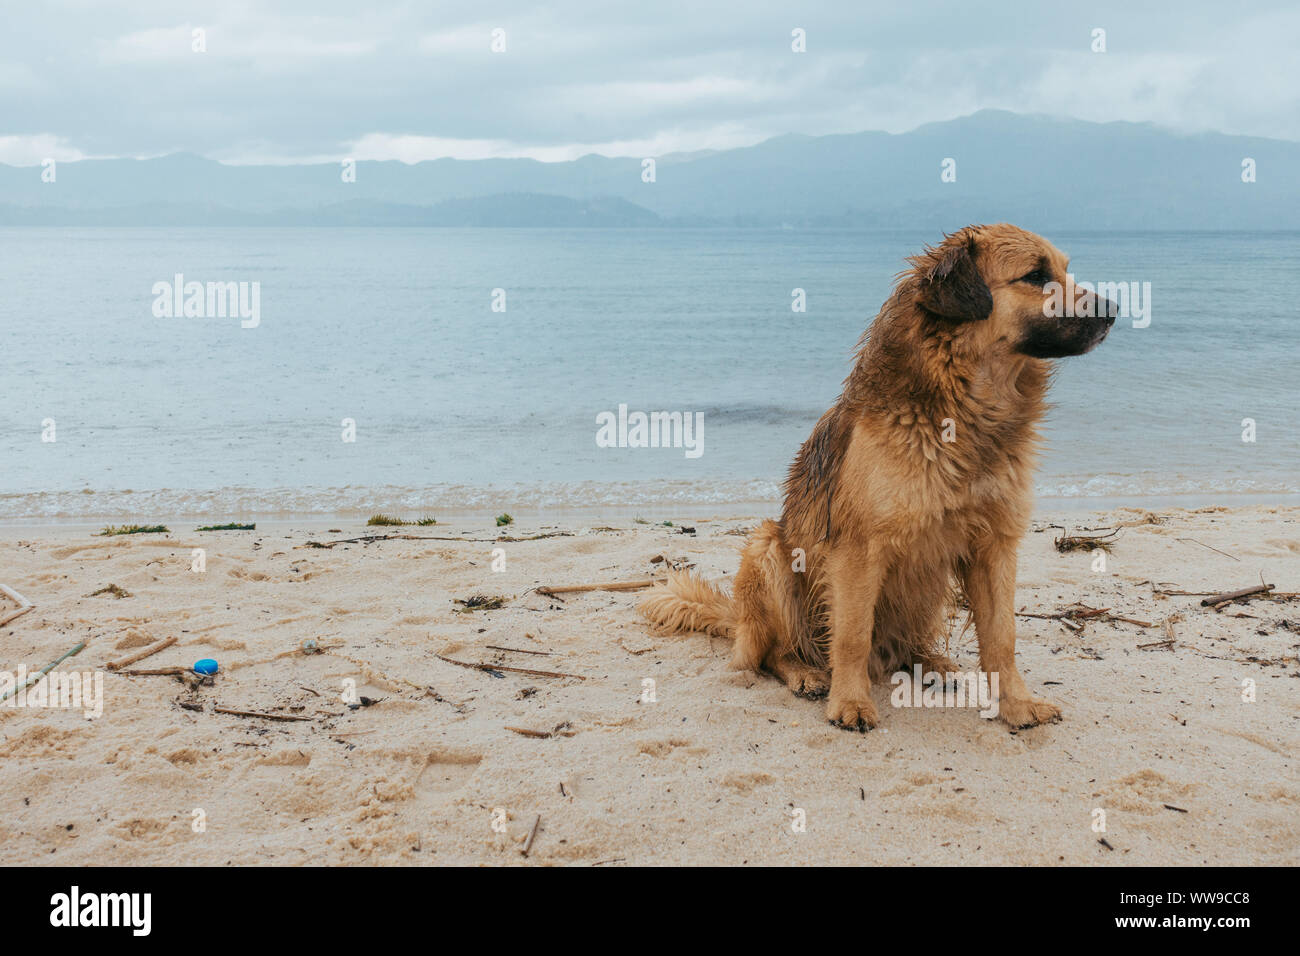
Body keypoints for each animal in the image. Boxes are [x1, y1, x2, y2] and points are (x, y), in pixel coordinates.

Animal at [639, 223, 1107, 733]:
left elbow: (1003, 636)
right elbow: (851, 637)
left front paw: (1017, 705)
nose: (1115, 310)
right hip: (769, 551)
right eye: (1035, 276)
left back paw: (931, 663)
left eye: (1064, 270)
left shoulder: (994, 545)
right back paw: (804, 672)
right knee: (772, 651)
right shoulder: (859, 551)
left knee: (903, 646)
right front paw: (850, 701)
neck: (965, 408)